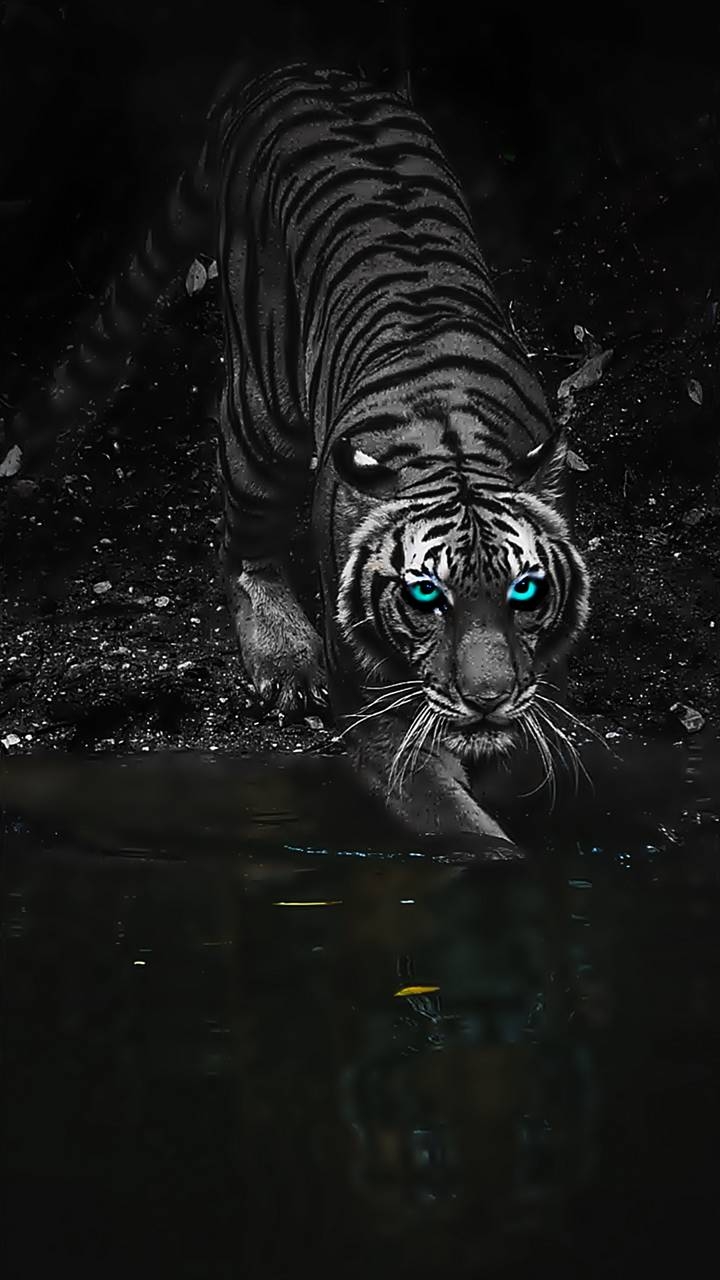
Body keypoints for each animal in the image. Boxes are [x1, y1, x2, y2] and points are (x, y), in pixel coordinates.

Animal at [2, 61, 591, 858]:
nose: (487, 699)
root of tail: (288, 68)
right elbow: (462, 829)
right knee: (238, 545)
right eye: (424, 597)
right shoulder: (384, 724)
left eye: (524, 590)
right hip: (261, 416)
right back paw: (282, 656)